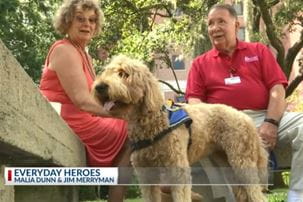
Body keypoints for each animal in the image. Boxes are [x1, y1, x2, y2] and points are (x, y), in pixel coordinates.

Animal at [92, 55, 268, 202]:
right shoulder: (147, 175)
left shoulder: (178, 171)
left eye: (123, 74)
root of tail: (245, 118)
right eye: (107, 71)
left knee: (257, 195)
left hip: (242, 161)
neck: (152, 122)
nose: (99, 86)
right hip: (226, 162)